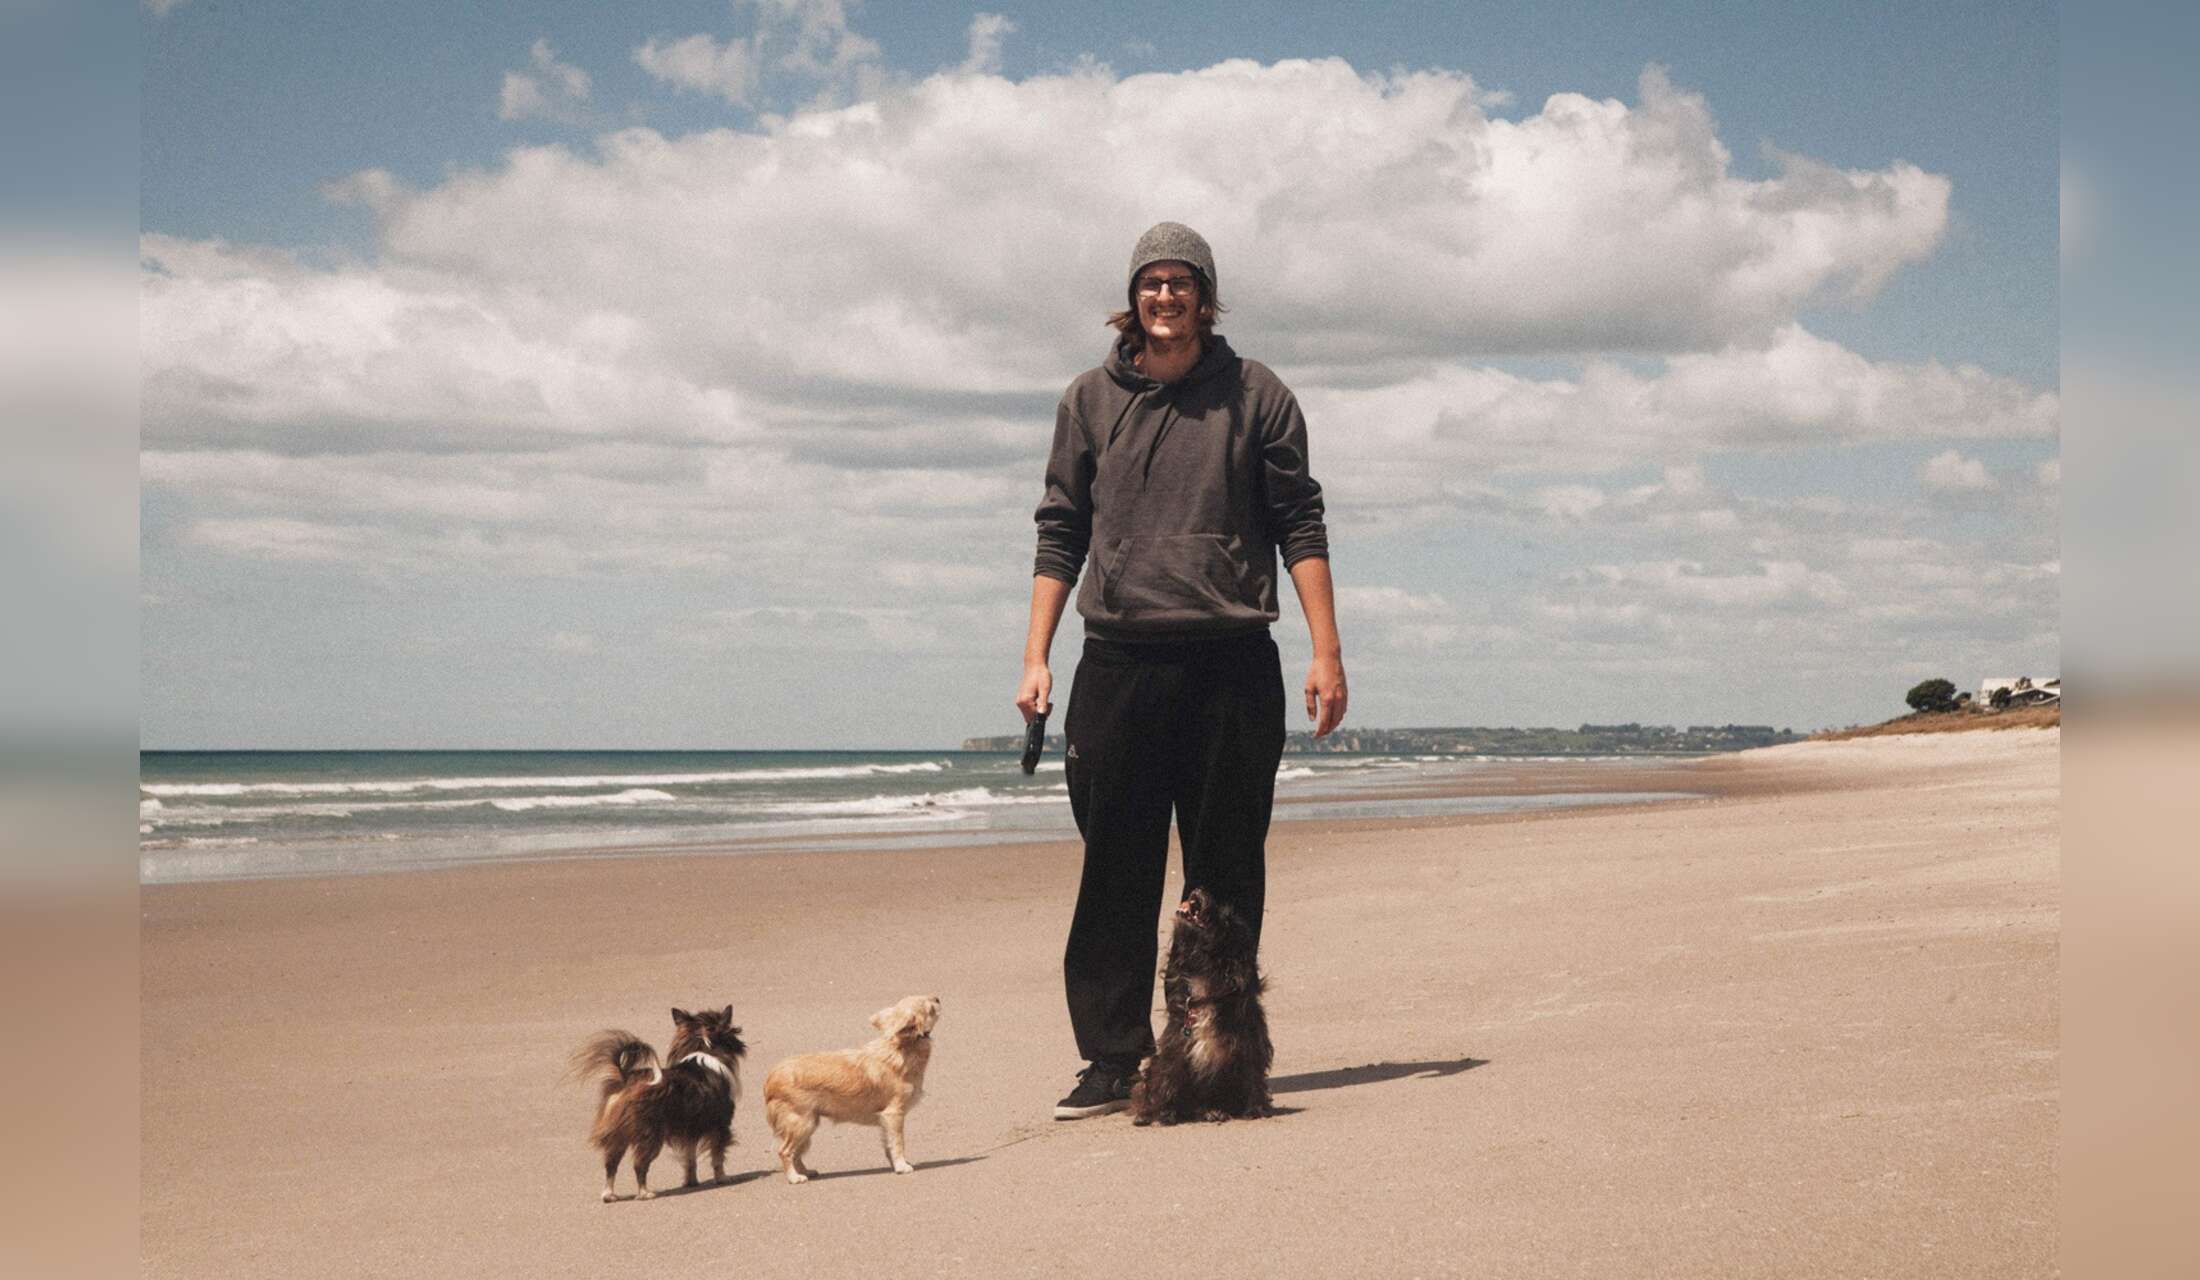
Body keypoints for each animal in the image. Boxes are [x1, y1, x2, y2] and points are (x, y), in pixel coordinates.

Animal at [568, 1005, 746, 1202]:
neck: (705, 1051)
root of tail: (625, 1079)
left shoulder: (689, 1130)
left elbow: (690, 1159)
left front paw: (691, 1181)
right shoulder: (720, 1126)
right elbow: (717, 1156)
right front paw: (722, 1178)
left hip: (619, 1135)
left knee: (611, 1164)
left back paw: (609, 1195)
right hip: (650, 1135)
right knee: (639, 1164)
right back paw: (645, 1193)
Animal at [762, 995, 940, 1183]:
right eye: (930, 1008)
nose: (937, 997)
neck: (901, 1047)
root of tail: (770, 1079)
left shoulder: (885, 1120)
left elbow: (888, 1145)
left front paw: (895, 1164)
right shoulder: (894, 1114)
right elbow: (898, 1143)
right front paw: (901, 1166)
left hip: (808, 1124)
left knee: (796, 1153)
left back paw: (805, 1172)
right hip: (802, 1123)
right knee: (785, 1151)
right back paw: (794, 1177)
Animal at [1132, 887, 1273, 1125]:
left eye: (1225, 919)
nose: (1200, 889)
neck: (1205, 988)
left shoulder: (1248, 1047)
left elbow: (1253, 1078)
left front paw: (1255, 1109)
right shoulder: (1175, 1049)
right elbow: (1167, 1080)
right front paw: (1164, 1113)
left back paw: (1214, 1111)